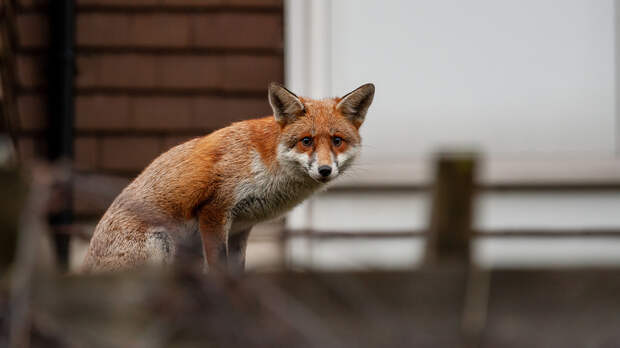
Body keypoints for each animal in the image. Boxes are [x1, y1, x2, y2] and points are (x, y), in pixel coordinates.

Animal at [81, 83, 372, 274]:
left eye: (337, 141)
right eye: (307, 141)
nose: (324, 170)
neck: (267, 165)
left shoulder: (241, 228)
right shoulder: (215, 210)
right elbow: (219, 269)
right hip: (161, 246)